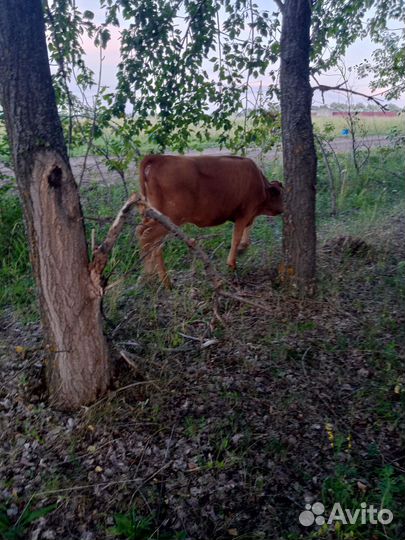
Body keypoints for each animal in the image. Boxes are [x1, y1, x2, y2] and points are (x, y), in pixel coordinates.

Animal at [136, 153, 280, 286]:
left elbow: (247, 230)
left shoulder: (248, 215)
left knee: (150, 240)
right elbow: (236, 238)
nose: (282, 208)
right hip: (169, 218)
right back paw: (148, 274)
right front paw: (232, 263)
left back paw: (165, 283)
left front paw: (242, 248)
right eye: (280, 194)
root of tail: (159, 158)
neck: (261, 186)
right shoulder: (244, 214)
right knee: (145, 236)